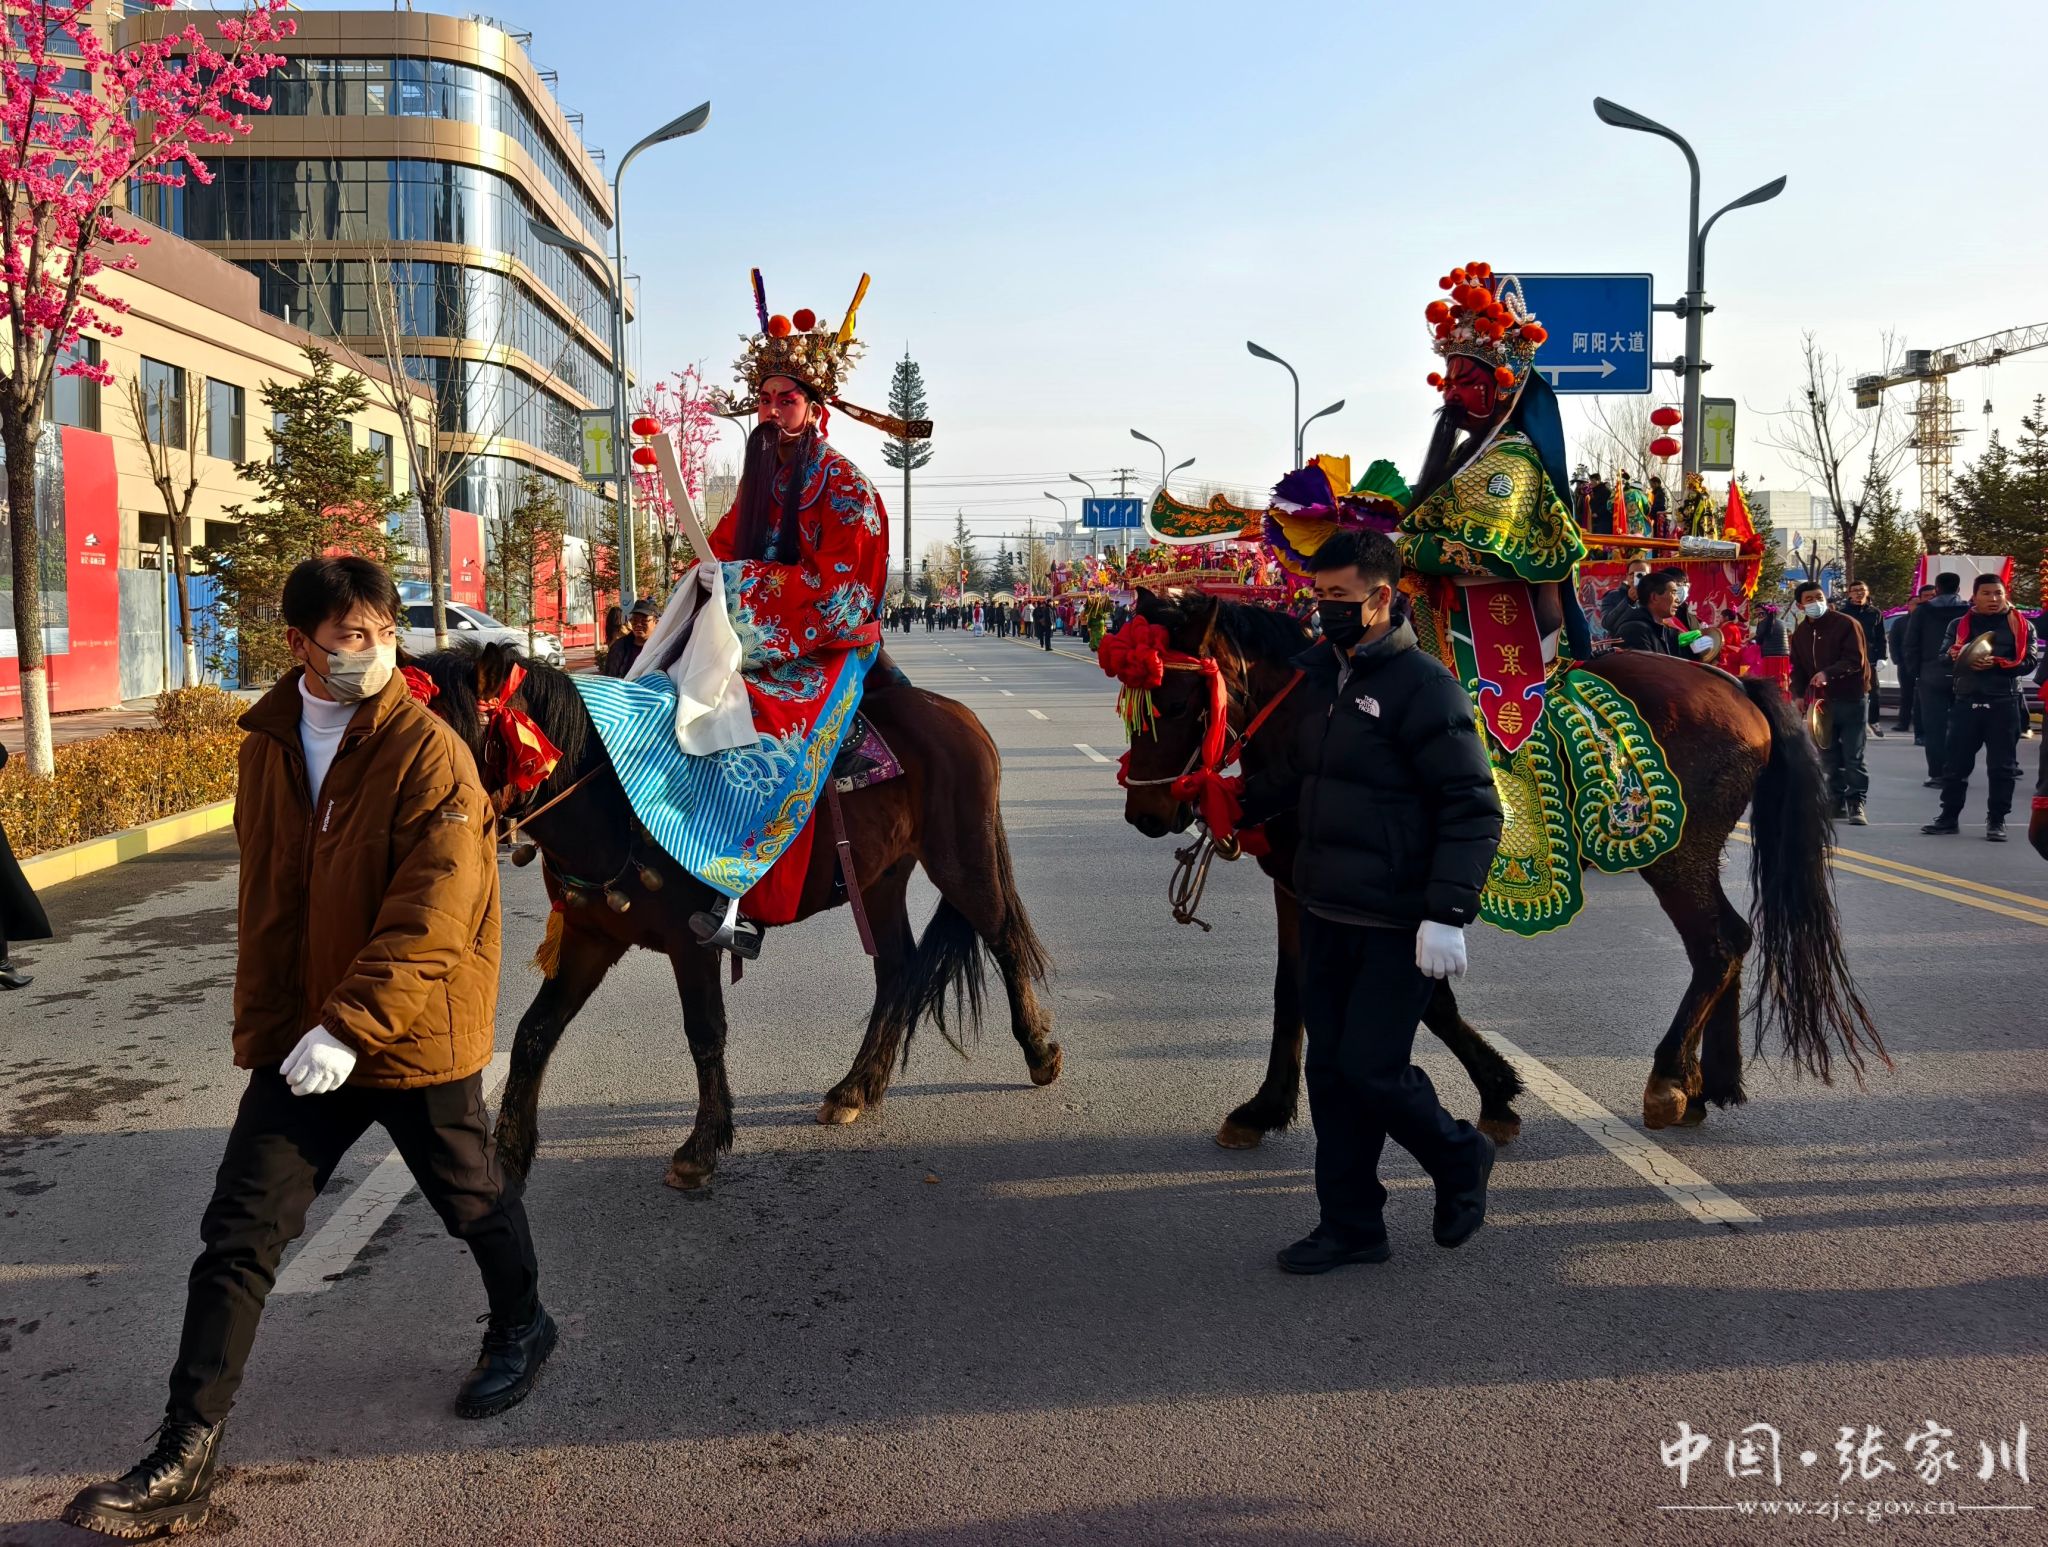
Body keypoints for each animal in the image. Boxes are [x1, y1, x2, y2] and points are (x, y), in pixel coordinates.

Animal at [411, 641, 1062, 1192]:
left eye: (449, 740)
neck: (611, 803)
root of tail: (957, 715)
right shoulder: (590, 937)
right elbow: (533, 1033)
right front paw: (509, 1153)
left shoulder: (690, 940)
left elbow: (704, 1031)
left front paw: (700, 1149)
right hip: (881, 878)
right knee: (897, 968)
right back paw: (857, 1087)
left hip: (961, 858)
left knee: (1004, 939)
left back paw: (1038, 1053)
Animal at [1118, 588, 1886, 1144]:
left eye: (1178, 701)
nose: (1146, 813)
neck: (1329, 719)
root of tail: (1733, 680)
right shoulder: (1299, 884)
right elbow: (1294, 991)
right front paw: (1265, 1106)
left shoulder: (1391, 894)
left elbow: (1431, 998)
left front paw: (1498, 1092)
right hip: (1694, 856)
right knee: (1731, 941)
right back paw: (1712, 1082)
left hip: (1675, 856)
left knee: (1718, 943)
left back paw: (1671, 1079)